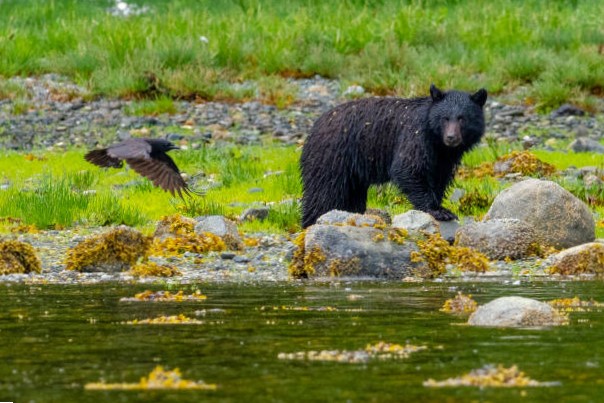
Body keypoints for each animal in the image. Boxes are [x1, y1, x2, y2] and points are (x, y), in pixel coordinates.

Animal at [300, 83, 486, 229]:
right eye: (445, 118)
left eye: (462, 118)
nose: (451, 137)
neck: (437, 141)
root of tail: (313, 129)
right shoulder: (415, 137)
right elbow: (407, 169)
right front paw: (439, 211)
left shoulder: (444, 158)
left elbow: (439, 178)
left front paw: (440, 206)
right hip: (332, 158)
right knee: (323, 194)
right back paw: (311, 223)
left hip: (352, 174)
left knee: (352, 197)